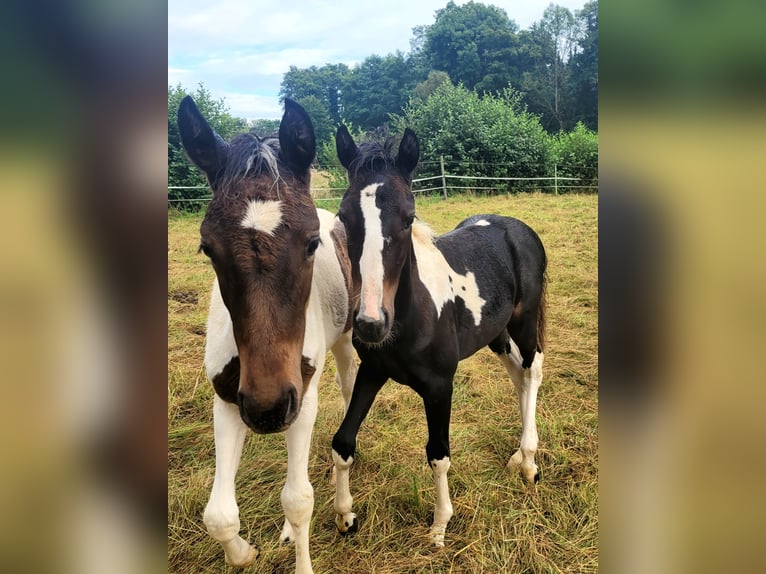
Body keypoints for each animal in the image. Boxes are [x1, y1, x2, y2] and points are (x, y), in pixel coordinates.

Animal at [178, 97, 358, 572]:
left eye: (312, 242)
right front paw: (244, 552)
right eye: (208, 248)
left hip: (343, 345)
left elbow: (298, 499)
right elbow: (218, 516)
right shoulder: (228, 400)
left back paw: (345, 507)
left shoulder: (302, 399)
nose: (268, 408)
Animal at [332, 126, 548, 548]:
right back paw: (518, 454)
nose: (370, 324)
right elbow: (343, 442)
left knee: (532, 371)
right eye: (343, 217)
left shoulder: (439, 386)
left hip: (524, 321)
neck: (411, 315)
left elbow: (438, 454)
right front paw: (346, 515)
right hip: (495, 334)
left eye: (408, 217)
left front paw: (439, 525)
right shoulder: (372, 371)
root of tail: (519, 228)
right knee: (517, 375)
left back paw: (529, 462)